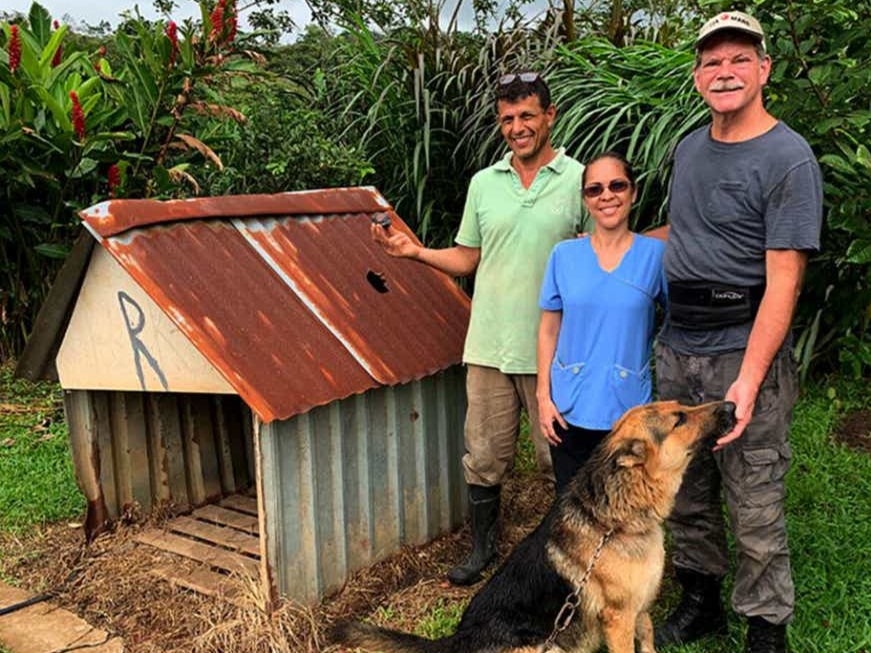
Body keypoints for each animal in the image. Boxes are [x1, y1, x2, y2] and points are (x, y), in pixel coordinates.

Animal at [332, 398, 736, 652]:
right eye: (679, 419)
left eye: (682, 408)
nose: (732, 406)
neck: (614, 521)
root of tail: (455, 641)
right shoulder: (618, 619)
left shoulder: (640, 611)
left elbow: (649, 641)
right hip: (543, 646)